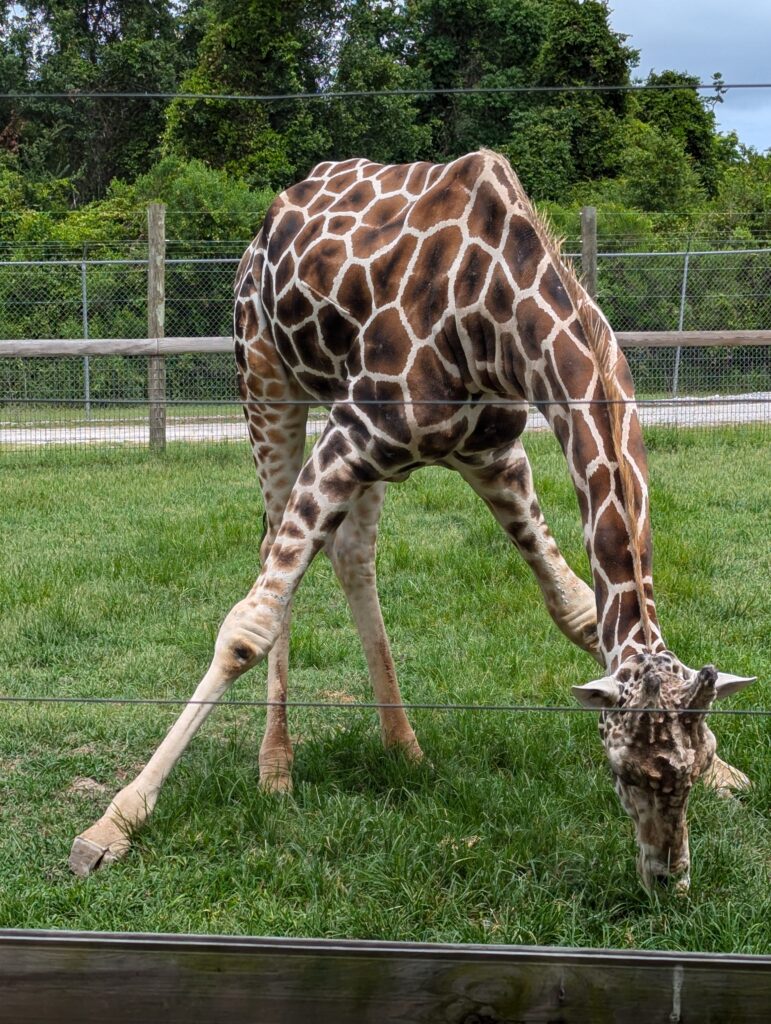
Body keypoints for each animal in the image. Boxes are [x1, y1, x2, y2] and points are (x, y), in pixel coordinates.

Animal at [69, 149, 753, 888]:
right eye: (625, 773)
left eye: (686, 768)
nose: (667, 877)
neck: (496, 315)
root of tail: (267, 224)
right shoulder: (355, 432)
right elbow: (246, 630)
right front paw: (113, 823)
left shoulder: (491, 455)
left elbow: (574, 609)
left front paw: (728, 772)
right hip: (268, 378)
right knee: (275, 557)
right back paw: (276, 768)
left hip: (367, 449)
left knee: (351, 557)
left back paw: (403, 745)